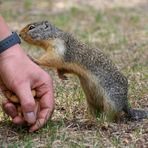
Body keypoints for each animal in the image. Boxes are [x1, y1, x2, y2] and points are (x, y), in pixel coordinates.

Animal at [19, 20, 147, 121]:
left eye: (32, 27)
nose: (19, 34)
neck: (54, 36)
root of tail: (125, 102)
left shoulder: (58, 49)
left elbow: (50, 59)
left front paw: (34, 59)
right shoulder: (65, 62)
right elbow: (62, 68)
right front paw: (61, 76)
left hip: (111, 101)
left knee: (112, 115)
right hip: (91, 102)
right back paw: (86, 119)